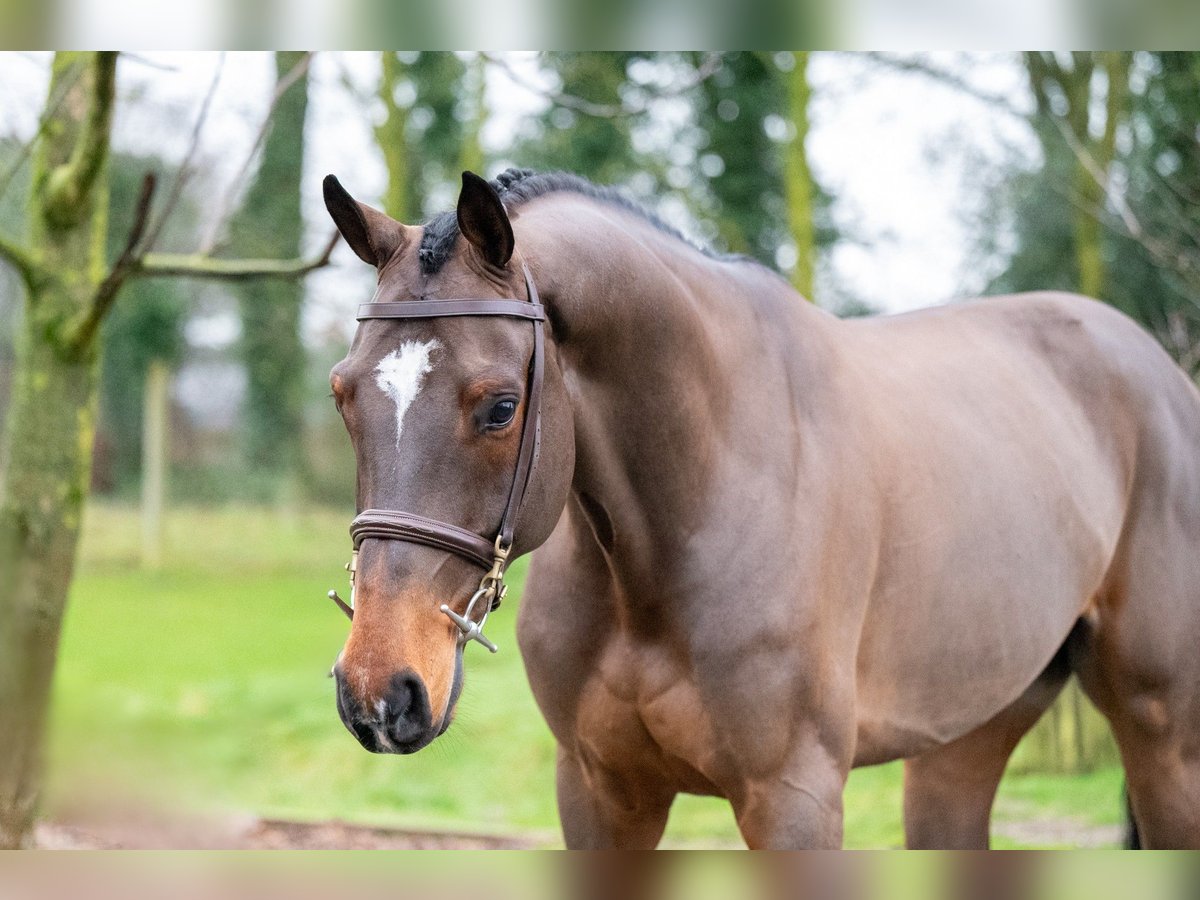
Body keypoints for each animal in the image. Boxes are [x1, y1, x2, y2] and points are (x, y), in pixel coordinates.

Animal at [319, 165, 1200, 849]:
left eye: (501, 407)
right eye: (342, 393)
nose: (379, 690)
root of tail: (1160, 369)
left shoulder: (792, 797)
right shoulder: (600, 791)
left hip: (1163, 736)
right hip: (966, 734)